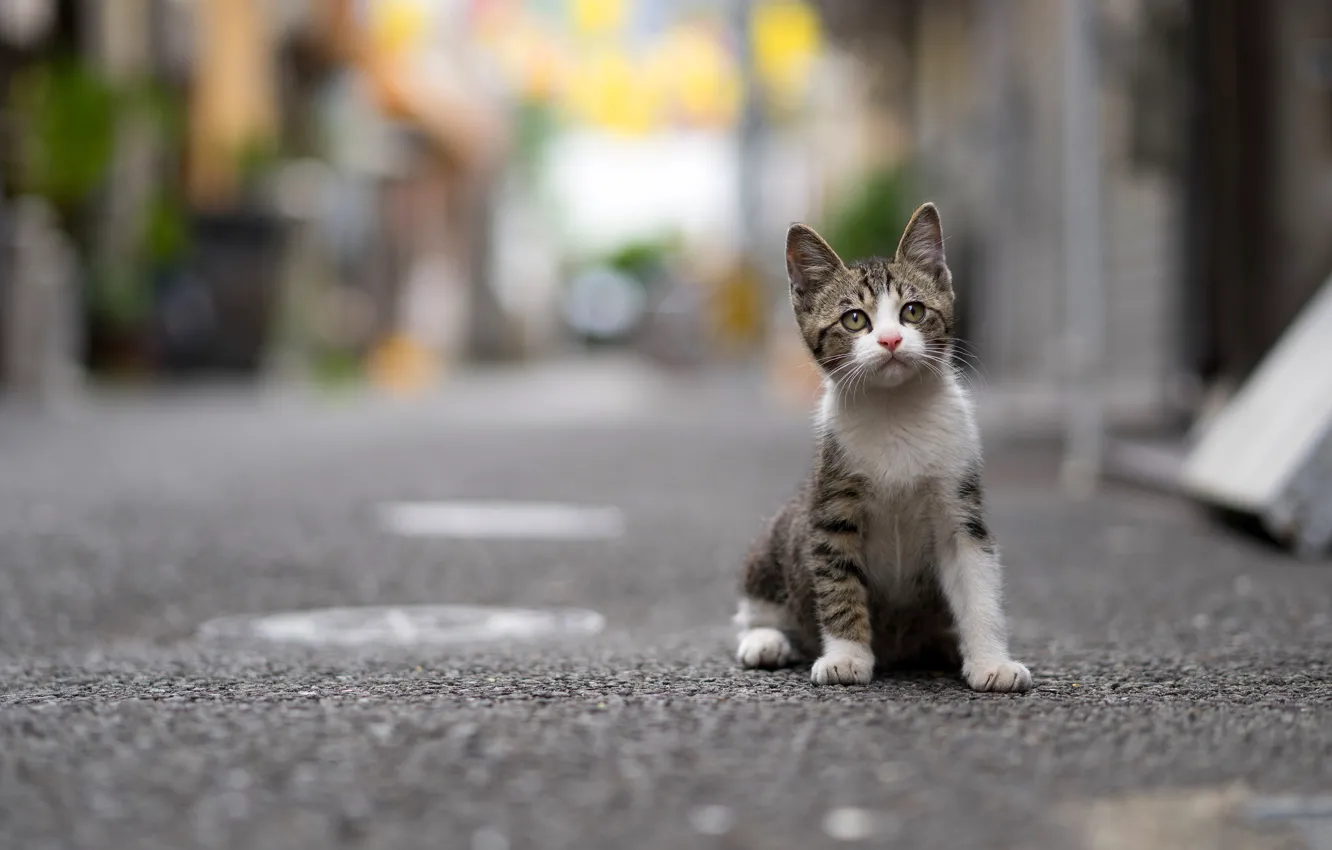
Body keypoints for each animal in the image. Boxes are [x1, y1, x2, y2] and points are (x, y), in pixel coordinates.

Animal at [735, 205, 1033, 692]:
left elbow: (979, 585)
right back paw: (766, 639)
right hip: (779, 535)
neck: (895, 411)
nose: (891, 340)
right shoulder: (831, 508)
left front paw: (992, 660)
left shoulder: (960, 506)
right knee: (756, 604)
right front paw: (847, 657)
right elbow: (838, 584)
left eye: (913, 311)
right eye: (855, 319)